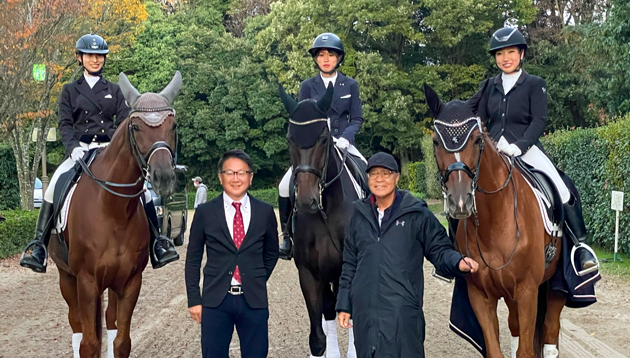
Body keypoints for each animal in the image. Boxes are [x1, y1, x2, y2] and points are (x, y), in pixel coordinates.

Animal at [47, 71, 181, 356]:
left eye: (173, 126)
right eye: (136, 127)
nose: (163, 177)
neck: (113, 211)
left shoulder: (131, 281)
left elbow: (121, 342)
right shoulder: (86, 281)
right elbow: (88, 344)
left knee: (109, 320)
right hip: (67, 277)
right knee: (75, 323)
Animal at [282, 84, 360, 358]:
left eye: (324, 139)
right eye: (290, 138)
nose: (307, 201)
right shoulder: (309, 273)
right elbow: (317, 337)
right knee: (328, 310)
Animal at [424, 84, 568, 358]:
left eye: (477, 140)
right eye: (436, 142)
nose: (461, 202)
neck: (495, 224)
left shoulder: (527, 291)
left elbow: (526, 351)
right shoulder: (480, 295)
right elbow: (495, 350)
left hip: (556, 287)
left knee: (550, 331)